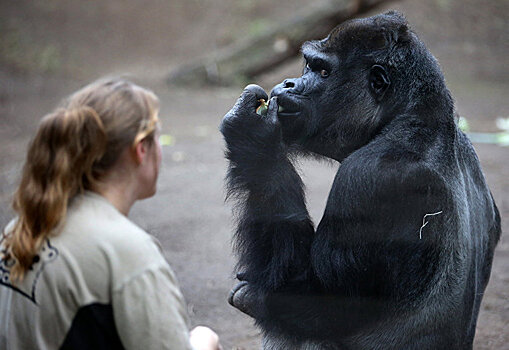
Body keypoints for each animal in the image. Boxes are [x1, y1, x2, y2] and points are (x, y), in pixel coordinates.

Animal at [219, 10, 500, 350]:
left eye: (322, 71)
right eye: (308, 65)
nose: (288, 83)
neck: (414, 116)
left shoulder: (371, 178)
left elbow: (311, 299)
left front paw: (255, 139)